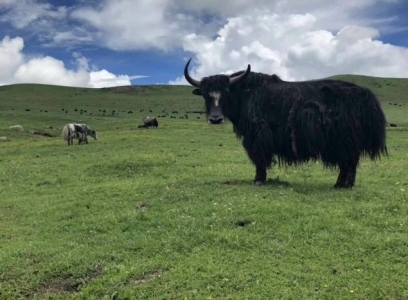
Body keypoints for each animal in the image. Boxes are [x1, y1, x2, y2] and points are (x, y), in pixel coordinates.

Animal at [183, 57, 388, 189]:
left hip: (346, 140)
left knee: (350, 162)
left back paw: (346, 185)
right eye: (205, 95)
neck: (245, 94)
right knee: (346, 163)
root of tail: (366, 95)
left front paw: (258, 180)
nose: (215, 119)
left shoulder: (257, 134)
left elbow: (259, 158)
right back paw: (338, 184)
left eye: (226, 93)